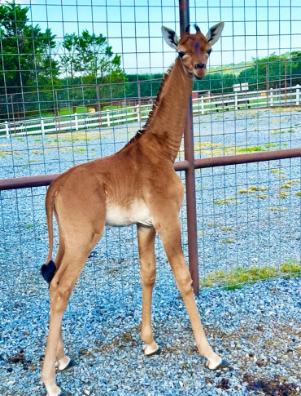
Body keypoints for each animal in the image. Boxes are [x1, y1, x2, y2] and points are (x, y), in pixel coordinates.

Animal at [41, 22, 225, 396]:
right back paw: (49, 381)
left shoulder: (145, 225)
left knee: (52, 281)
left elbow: (148, 274)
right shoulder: (168, 219)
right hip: (84, 238)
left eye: (208, 48)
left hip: (67, 239)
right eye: (181, 52)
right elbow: (184, 279)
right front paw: (210, 354)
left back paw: (61, 359)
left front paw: (149, 343)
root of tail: (55, 186)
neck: (162, 150)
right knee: (61, 287)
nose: (199, 69)